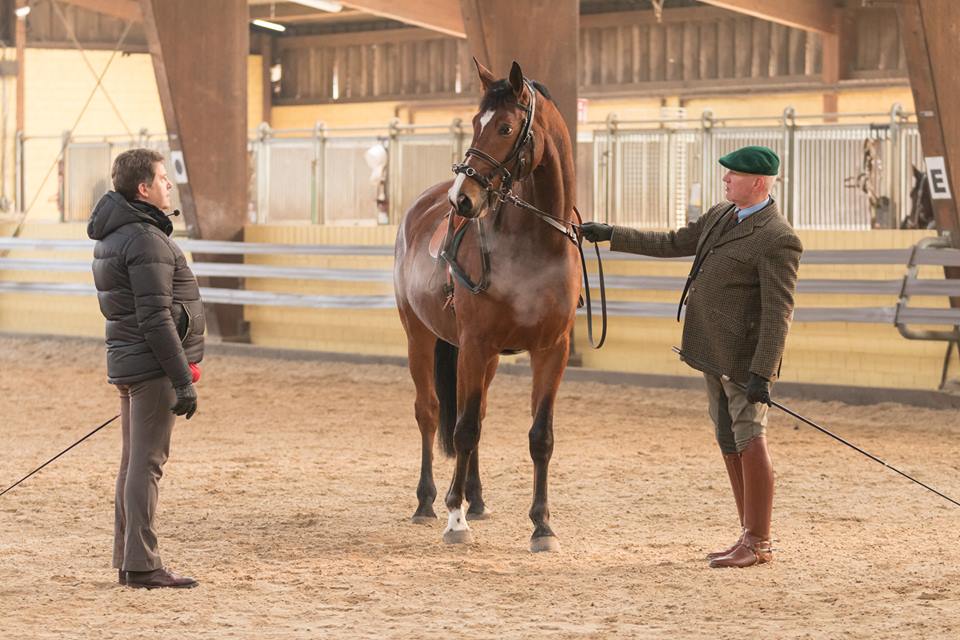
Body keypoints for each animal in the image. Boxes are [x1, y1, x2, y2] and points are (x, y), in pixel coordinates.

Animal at [390, 57, 576, 552]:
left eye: (506, 127)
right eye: (476, 122)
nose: (462, 198)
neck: (534, 247)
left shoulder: (552, 350)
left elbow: (540, 437)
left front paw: (542, 526)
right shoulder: (473, 345)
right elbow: (464, 428)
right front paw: (455, 521)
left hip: (484, 358)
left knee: (475, 414)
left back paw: (475, 499)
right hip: (420, 337)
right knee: (430, 412)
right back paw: (429, 502)